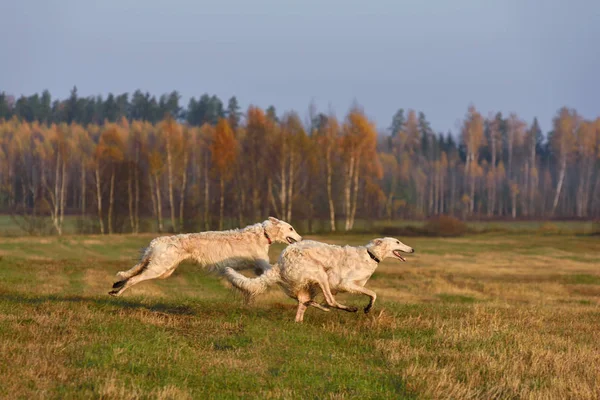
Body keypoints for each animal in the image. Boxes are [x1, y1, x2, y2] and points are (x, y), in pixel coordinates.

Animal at [108, 216, 302, 296]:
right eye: (291, 228)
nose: (301, 239)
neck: (263, 234)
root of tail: (158, 241)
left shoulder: (258, 267)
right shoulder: (263, 264)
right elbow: (271, 271)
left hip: (162, 269)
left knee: (130, 274)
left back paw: (116, 286)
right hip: (158, 268)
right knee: (133, 279)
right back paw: (118, 292)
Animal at [223, 238, 414, 322]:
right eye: (398, 242)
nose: (412, 249)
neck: (370, 255)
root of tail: (278, 264)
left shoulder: (338, 286)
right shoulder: (346, 284)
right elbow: (373, 294)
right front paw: (367, 308)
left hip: (309, 284)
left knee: (305, 302)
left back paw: (303, 318)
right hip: (319, 274)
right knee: (327, 301)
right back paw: (349, 308)